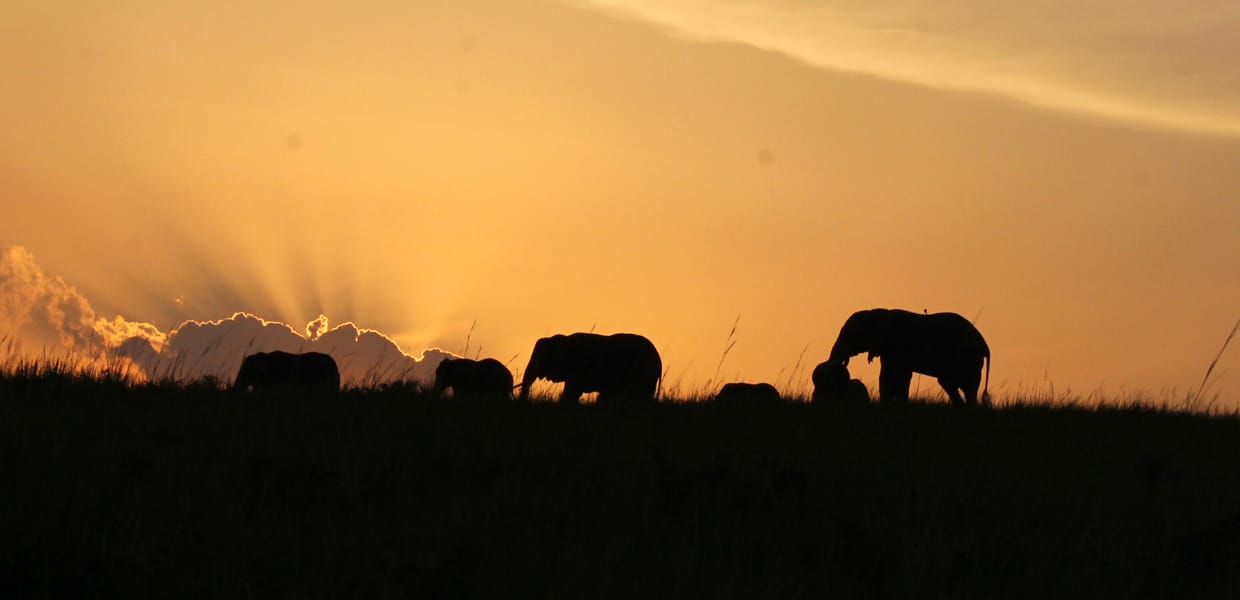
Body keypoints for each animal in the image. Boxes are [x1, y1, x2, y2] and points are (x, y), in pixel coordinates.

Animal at [828, 309, 992, 404]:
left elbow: (892, 376)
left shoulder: (896, 347)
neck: (879, 313)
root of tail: (984, 345)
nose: (842, 362)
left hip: (967, 359)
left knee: (966, 387)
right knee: (950, 384)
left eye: (850, 335)